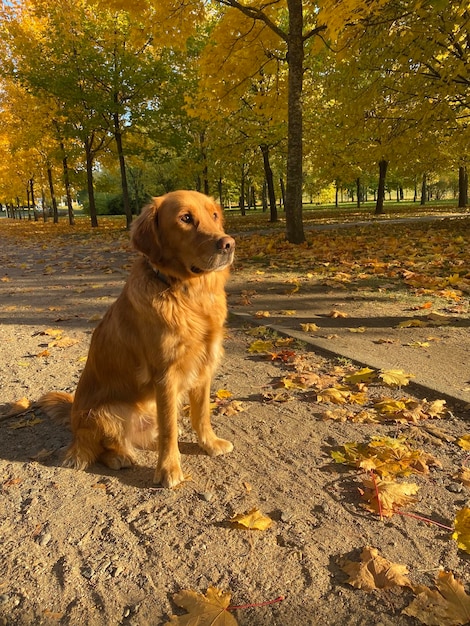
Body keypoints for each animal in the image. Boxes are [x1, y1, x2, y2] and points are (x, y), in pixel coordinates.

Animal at [38, 190, 235, 488]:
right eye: (185, 218)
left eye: (214, 215)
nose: (228, 244)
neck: (187, 293)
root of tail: (74, 422)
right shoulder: (165, 375)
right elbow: (169, 430)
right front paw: (168, 469)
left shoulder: (204, 365)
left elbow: (201, 414)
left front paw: (209, 444)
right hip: (105, 413)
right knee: (96, 448)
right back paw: (120, 456)